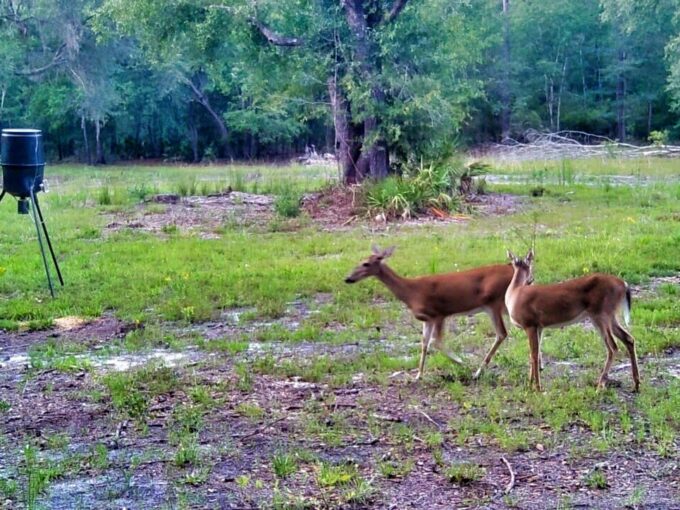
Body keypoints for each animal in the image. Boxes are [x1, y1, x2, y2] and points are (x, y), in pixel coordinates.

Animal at [346, 245, 516, 380]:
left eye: (366, 263)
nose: (348, 278)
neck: (411, 292)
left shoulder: (438, 314)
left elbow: (435, 341)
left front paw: (461, 362)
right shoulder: (427, 319)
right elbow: (424, 344)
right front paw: (418, 376)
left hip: (494, 303)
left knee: (501, 333)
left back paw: (478, 372)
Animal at [508, 249, 640, 392]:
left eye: (531, 264)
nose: (530, 280)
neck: (514, 293)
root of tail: (624, 285)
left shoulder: (530, 324)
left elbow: (534, 355)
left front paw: (537, 387)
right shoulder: (539, 326)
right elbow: (534, 354)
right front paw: (529, 384)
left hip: (601, 314)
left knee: (613, 346)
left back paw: (600, 385)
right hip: (609, 316)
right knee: (628, 339)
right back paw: (636, 384)